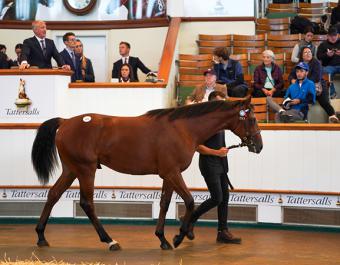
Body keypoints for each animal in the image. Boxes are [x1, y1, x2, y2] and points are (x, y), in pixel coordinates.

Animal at [31, 95, 262, 250]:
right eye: (251, 119)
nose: (259, 146)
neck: (183, 129)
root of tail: (66, 122)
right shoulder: (173, 173)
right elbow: (189, 202)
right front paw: (178, 237)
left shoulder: (168, 174)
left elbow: (165, 204)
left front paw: (163, 238)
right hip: (85, 170)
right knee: (87, 203)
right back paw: (109, 240)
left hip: (71, 170)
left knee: (53, 194)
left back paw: (41, 236)